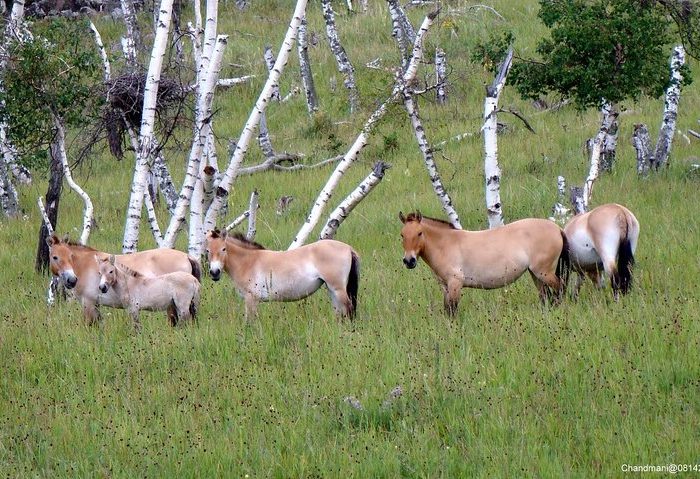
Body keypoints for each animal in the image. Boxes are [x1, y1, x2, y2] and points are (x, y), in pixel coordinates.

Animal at [46, 235, 201, 326]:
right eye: (55, 257)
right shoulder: (95, 305)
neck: (86, 265)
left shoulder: (88, 303)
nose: (71, 280)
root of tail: (187, 256)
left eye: (71, 256)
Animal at [205, 230, 360, 322]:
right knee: (339, 311)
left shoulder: (251, 299)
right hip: (332, 289)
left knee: (349, 308)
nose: (215, 272)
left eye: (223, 249)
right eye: (207, 250)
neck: (248, 262)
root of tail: (348, 248)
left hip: (337, 288)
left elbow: (250, 322)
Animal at [400, 211, 568, 316]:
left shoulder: (455, 284)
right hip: (535, 274)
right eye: (402, 235)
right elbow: (447, 310)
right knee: (545, 296)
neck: (446, 244)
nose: (409, 261)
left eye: (419, 233)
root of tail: (558, 229)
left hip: (544, 272)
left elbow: (453, 310)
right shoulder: (445, 286)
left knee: (560, 289)